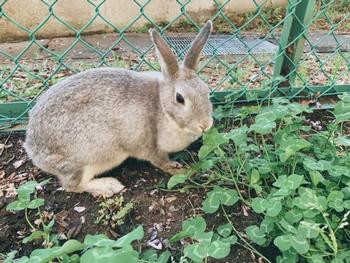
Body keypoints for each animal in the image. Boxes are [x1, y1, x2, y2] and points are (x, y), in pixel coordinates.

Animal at [23, 21, 213, 196]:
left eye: (207, 91)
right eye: (180, 98)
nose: (205, 124)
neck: (163, 108)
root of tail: (32, 149)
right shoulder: (148, 145)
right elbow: (160, 160)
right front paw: (179, 169)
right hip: (88, 157)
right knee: (72, 185)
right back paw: (108, 186)